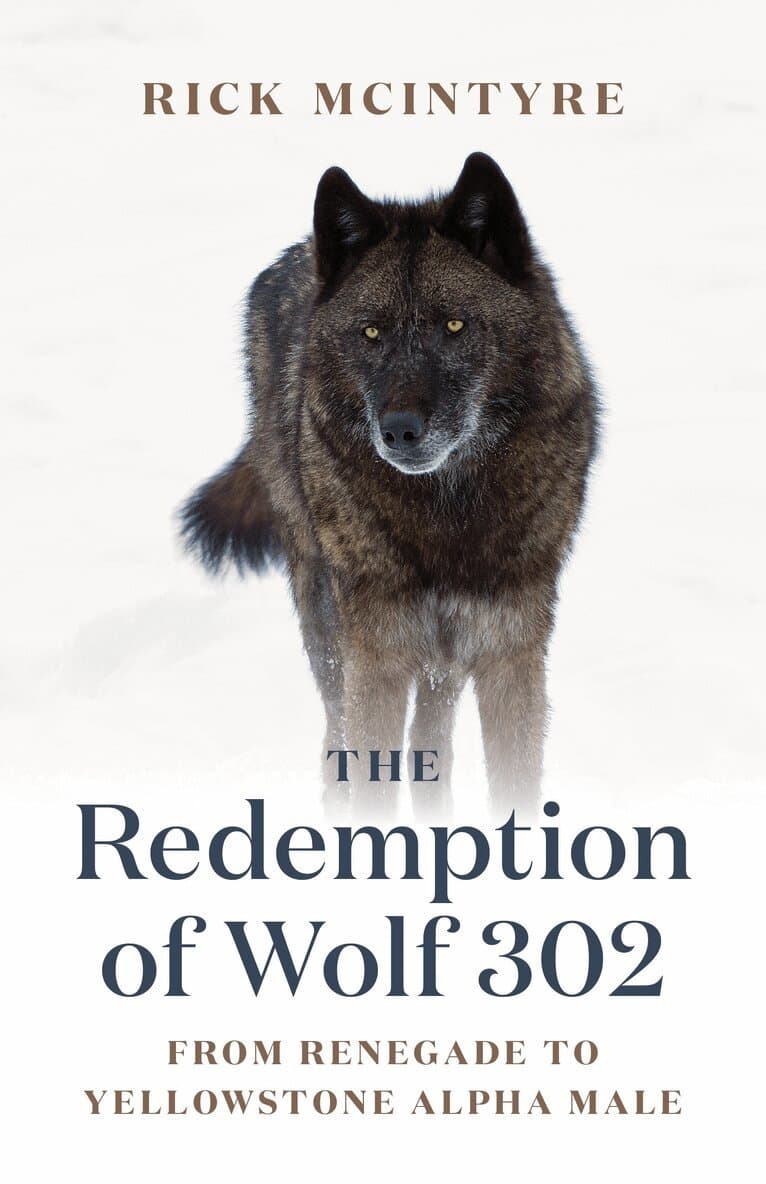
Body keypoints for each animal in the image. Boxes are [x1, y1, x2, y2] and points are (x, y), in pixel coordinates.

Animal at [180, 152, 598, 812]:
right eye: (371, 333)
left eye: (454, 325)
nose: (398, 430)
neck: (448, 516)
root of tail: (298, 251)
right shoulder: (375, 658)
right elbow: (369, 776)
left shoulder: (511, 655)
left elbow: (513, 785)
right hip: (329, 627)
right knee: (337, 741)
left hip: (442, 662)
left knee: (433, 742)